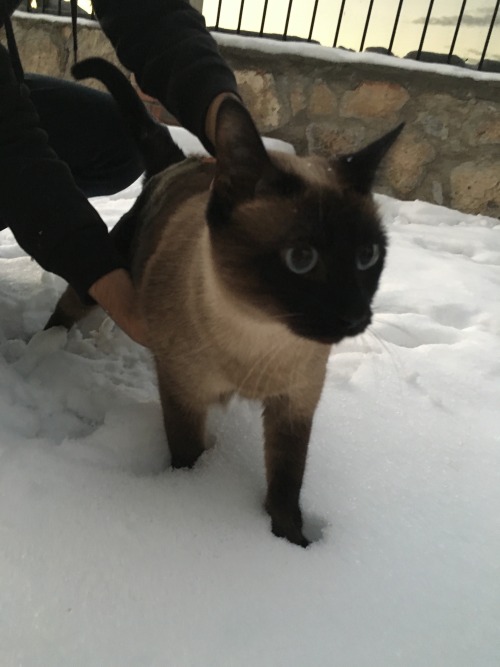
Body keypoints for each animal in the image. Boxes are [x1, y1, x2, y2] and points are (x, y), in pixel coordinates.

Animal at [48, 57, 404, 548]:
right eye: (301, 259)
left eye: (368, 256)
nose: (355, 316)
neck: (259, 336)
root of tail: (181, 163)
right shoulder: (185, 395)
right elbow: (188, 457)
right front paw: (191, 497)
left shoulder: (295, 403)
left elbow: (286, 485)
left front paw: (294, 547)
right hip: (94, 282)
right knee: (65, 310)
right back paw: (42, 351)